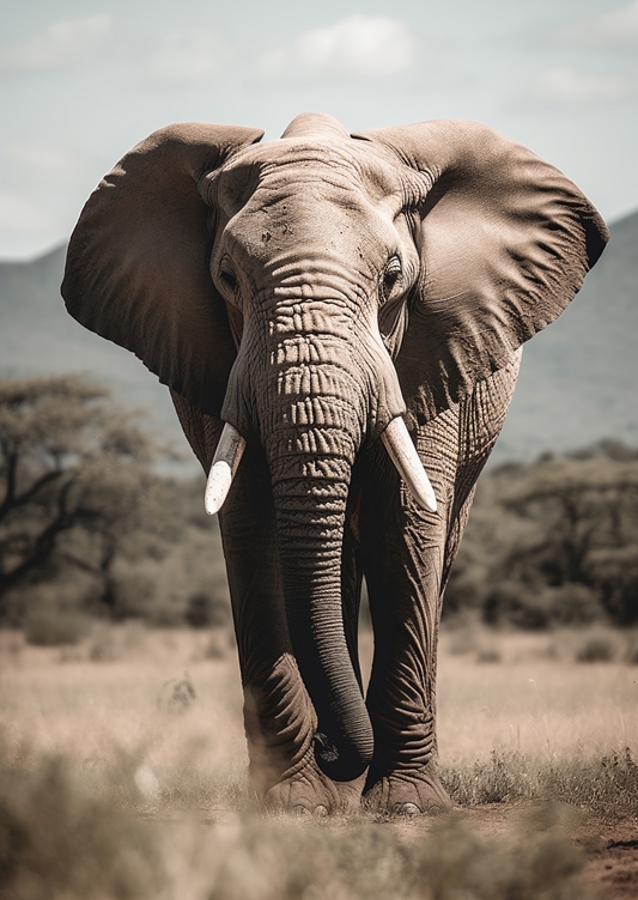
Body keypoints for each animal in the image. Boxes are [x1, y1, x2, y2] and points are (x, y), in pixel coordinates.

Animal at [61, 112, 608, 816]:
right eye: (226, 278)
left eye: (394, 276)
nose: (333, 748)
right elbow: (254, 528)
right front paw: (296, 802)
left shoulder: (433, 350)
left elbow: (405, 530)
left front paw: (406, 805)